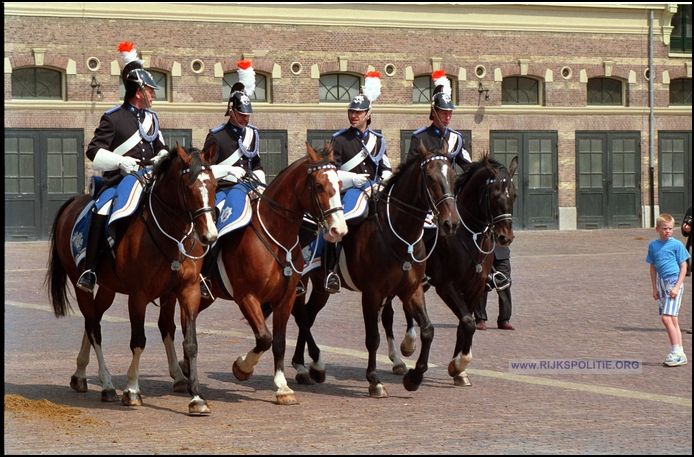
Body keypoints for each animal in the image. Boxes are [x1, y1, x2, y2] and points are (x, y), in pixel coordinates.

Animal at [47, 144, 218, 416]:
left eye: (214, 185)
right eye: (189, 187)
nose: (209, 236)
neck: (172, 235)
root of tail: (76, 202)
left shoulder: (187, 291)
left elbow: (190, 343)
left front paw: (197, 397)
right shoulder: (138, 296)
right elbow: (138, 341)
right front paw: (132, 390)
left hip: (108, 288)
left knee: (93, 319)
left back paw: (80, 374)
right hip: (80, 283)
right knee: (94, 327)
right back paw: (107, 385)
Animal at [155, 144, 346, 404]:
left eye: (340, 183)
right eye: (318, 185)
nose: (339, 229)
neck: (275, 237)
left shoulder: (285, 298)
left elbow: (278, 341)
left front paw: (282, 387)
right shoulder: (246, 297)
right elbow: (264, 338)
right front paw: (242, 367)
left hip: (201, 294)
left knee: (186, 325)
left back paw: (185, 368)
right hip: (172, 292)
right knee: (167, 325)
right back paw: (178, 376)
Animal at [290, 144, 460, 398]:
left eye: (453, 176)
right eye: (429, 177)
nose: (451, 223)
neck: (399, 234)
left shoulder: (412, 290)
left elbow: (428, 330)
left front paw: (414, 377)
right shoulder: (372, 294)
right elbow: (373, 338)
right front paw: (374, 381)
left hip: (321, 286)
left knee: (307, 317)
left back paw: (307, 366)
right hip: (301, 281)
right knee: (301, 316)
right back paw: (309, 366)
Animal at [384, 153, 520, 384]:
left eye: (515, 195)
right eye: (494, 195)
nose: (505, 237)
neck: (469, 235)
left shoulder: (475, 287)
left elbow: (465, 325)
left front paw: (460, 369)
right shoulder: (447, 286)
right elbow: (468, 322)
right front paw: (457, 364)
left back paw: (409, 343)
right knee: (387, 315)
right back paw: (398, 359)